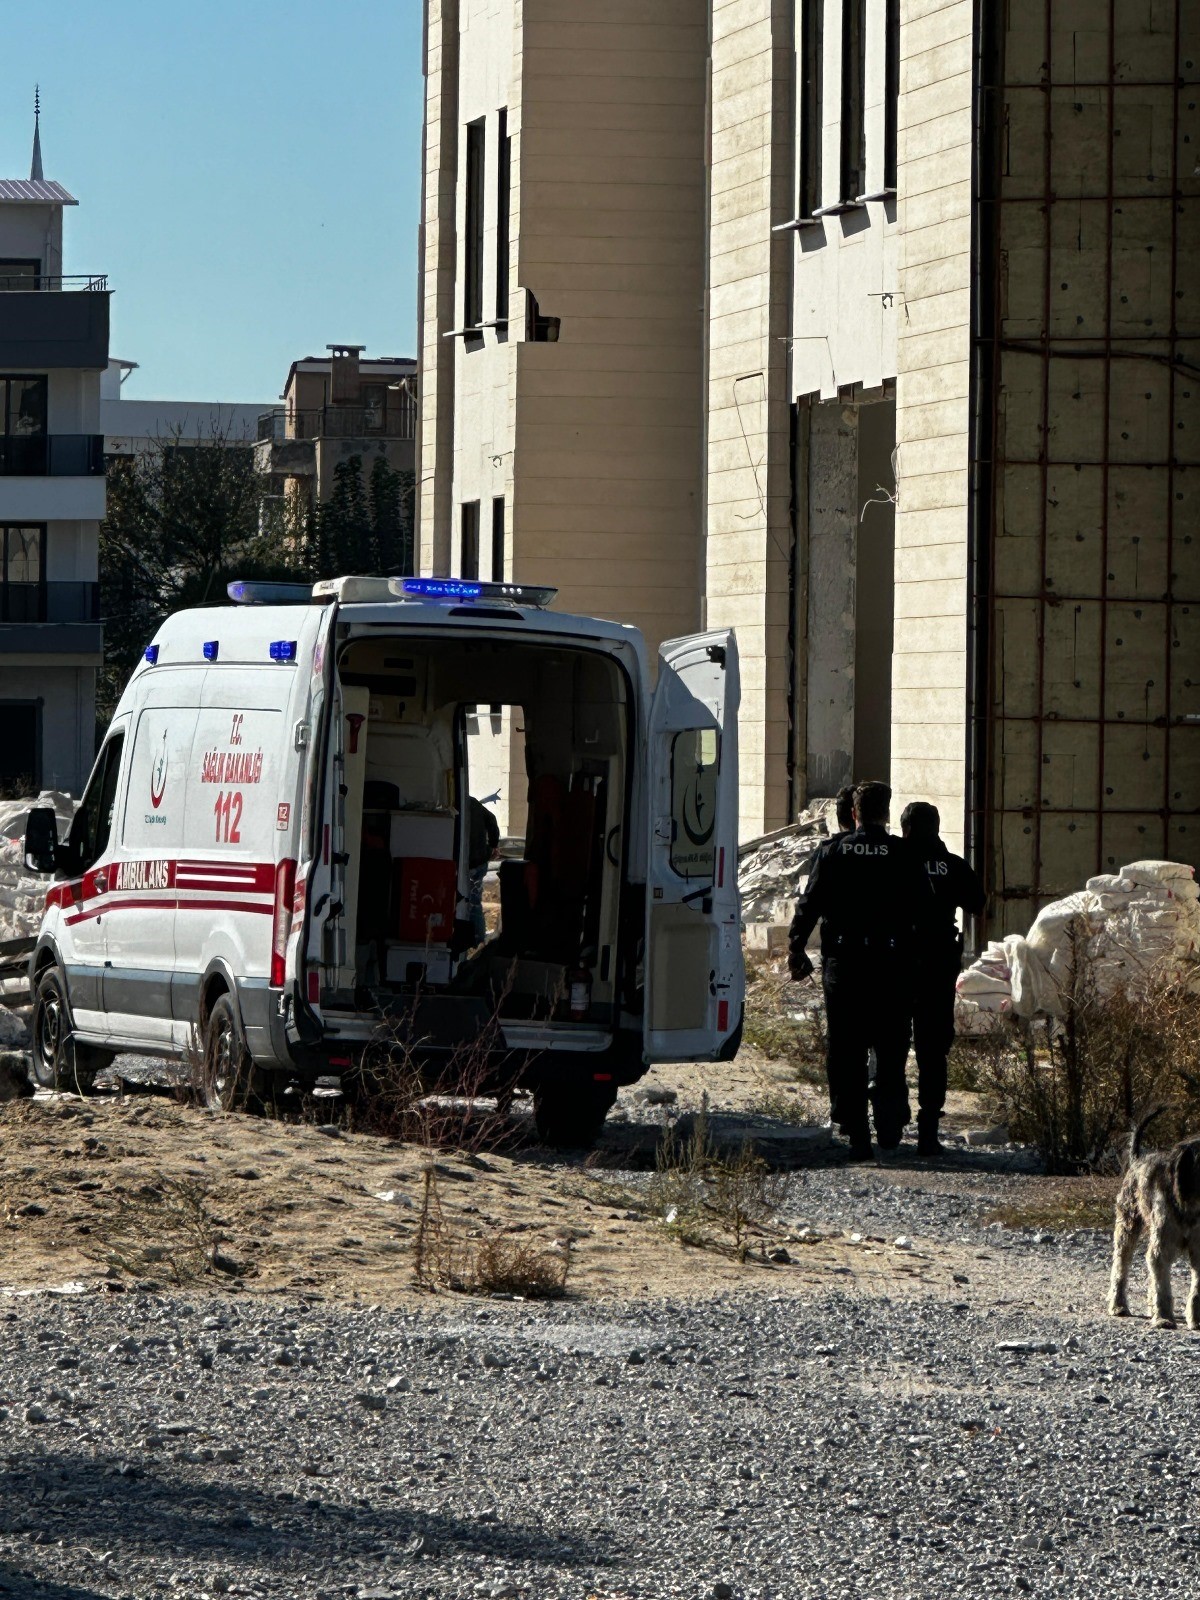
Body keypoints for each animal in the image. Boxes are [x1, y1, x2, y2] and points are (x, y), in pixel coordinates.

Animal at [1113, 1107, 1200, 1331]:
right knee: (1120, 1267)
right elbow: (1161, 1284)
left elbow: (1196, 1287)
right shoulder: (1162, 1244)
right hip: (1127, 1226)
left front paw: (1195, 1319)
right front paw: (1163, 1317)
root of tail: (1137, 1158)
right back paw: (1118, 1305)